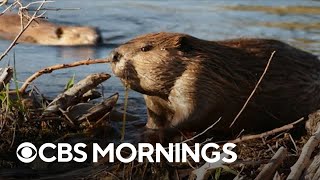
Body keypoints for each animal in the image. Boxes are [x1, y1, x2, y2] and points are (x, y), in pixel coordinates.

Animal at [109, 32, 320, 136]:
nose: (113, 55)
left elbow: (192, 114)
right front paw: (145, 127)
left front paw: (159, 131)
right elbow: (155, 116)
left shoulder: (197, 80)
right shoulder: (154, 100)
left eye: (145, 48)